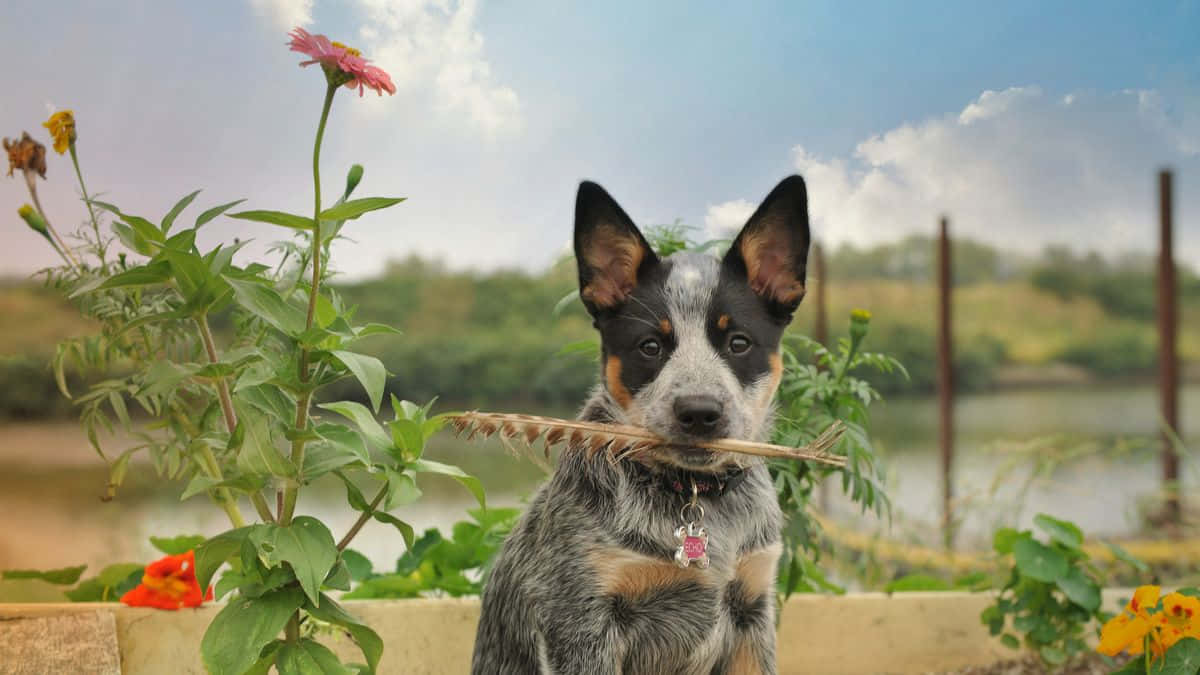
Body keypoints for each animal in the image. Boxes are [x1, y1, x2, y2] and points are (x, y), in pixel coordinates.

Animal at [472, 174, 811, 672]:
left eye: (738, 342)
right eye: (650, 346)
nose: (699, 412)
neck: (694, 498)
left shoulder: (753, 609)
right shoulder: (582, 622)